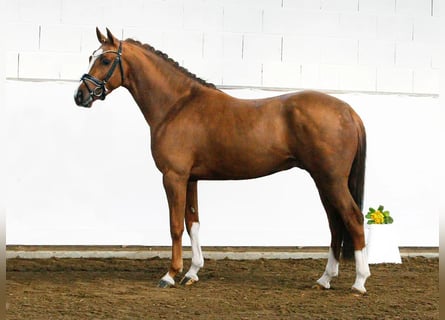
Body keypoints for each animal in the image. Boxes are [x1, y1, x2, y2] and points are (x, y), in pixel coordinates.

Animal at [74, 28, 370, 294]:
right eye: (91, 56)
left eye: (105, 60)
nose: (80, 96)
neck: (177, 105)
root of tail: (349, 112)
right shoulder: (191, 178)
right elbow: (192, 223)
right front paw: (192, 272)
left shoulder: (173, 177)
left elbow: (174, 226)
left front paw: (170, 275)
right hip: (323, 181)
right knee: (335, 223)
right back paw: (325, 279)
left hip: (331, 180)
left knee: (353, 218)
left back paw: (359, 282)